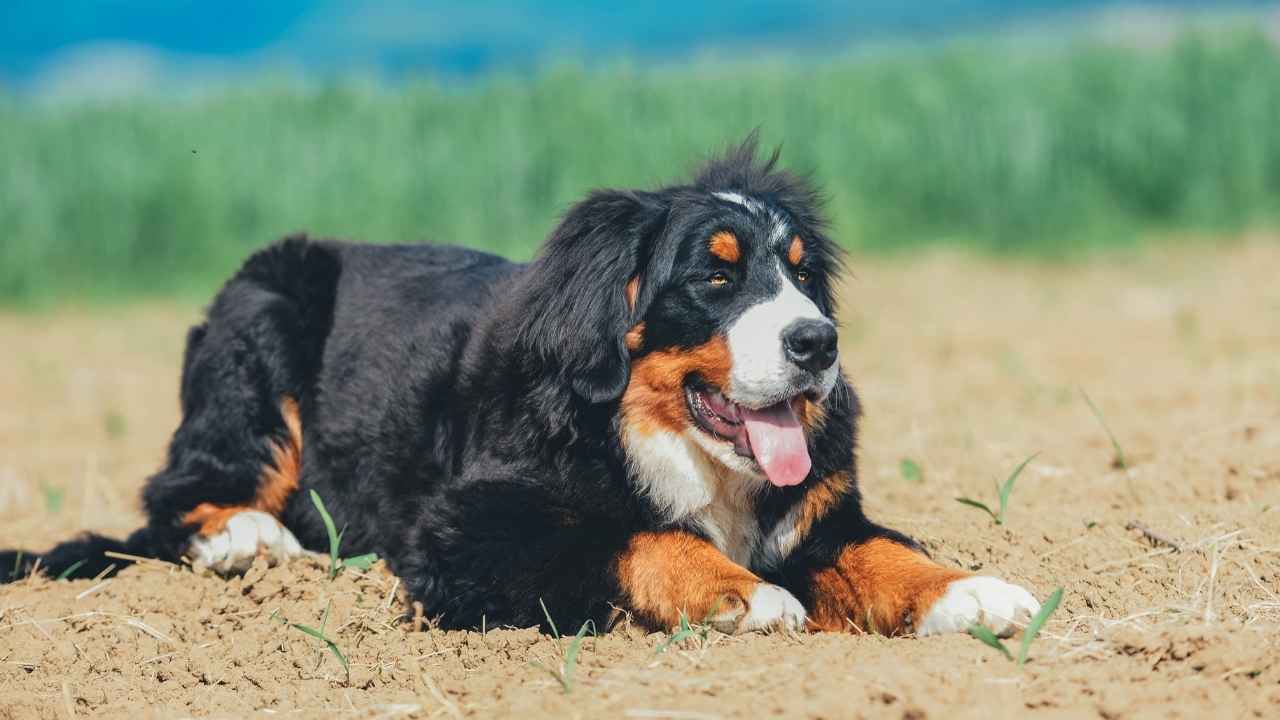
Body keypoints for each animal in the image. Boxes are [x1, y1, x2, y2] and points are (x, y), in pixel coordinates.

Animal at [2, 139, 1039, 632]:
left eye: (801, 277)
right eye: (714, 276)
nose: (819, 343)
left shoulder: (818, 518)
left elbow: (883, 554)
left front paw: (977, 596)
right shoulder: (467, 527)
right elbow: (628, 536)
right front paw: (741, 596)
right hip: (261, 321)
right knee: (178, 493)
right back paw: (249, 542)